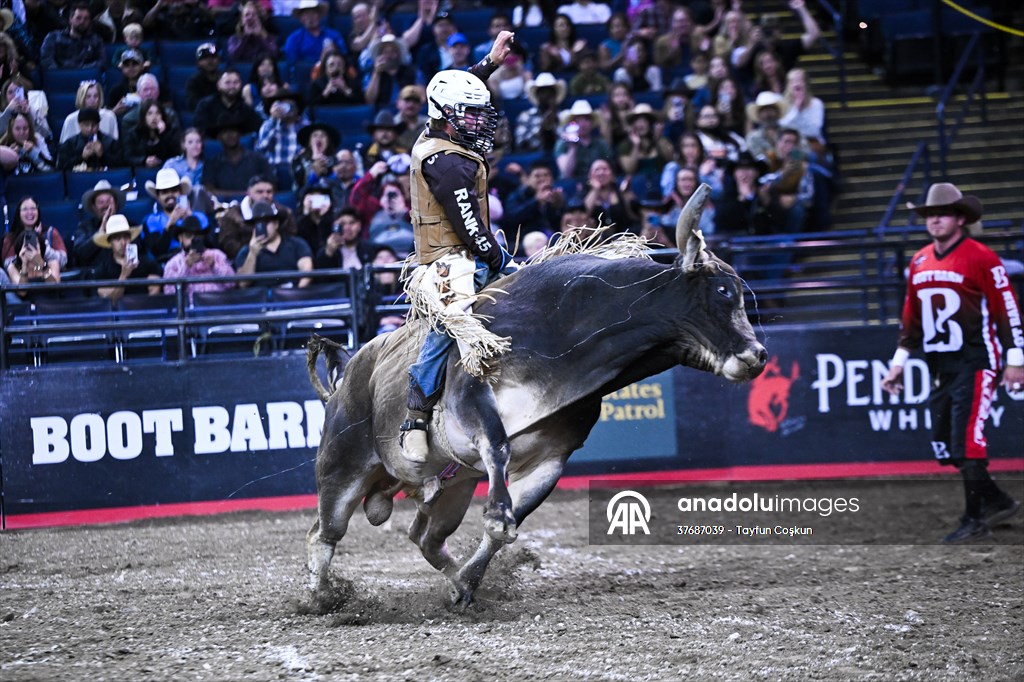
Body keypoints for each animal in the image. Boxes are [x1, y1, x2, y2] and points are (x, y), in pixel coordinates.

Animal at [305, 185, 767, 610]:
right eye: (724, 292)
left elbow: (507, 523)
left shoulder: (550, 458)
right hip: (341, 467)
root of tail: (347, 372)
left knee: (424, 536)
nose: (758, 355)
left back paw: (454, 583)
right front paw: (495, 520)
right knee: (325, 532)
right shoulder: (471, 398)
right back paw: (319, 597)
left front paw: (470, 579)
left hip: (452, 487)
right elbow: (497, 447)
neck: (562, 331)